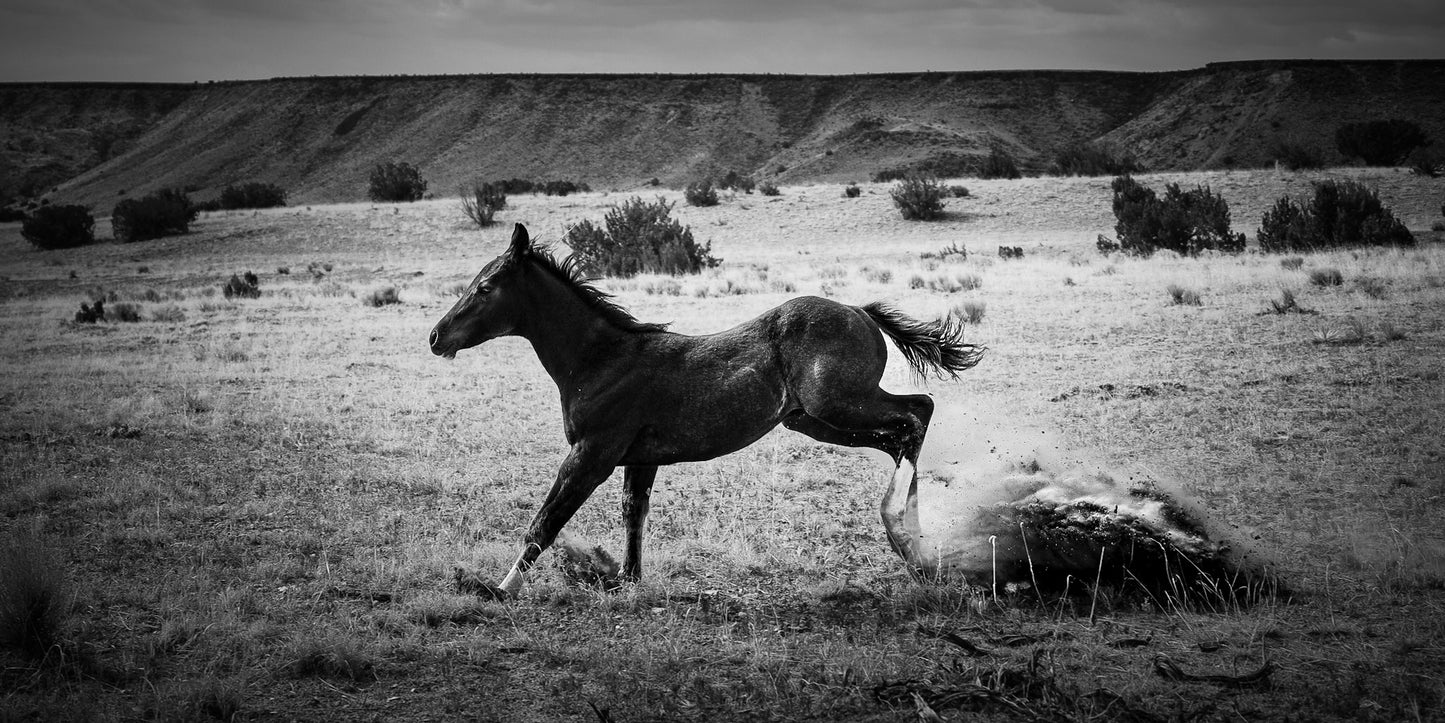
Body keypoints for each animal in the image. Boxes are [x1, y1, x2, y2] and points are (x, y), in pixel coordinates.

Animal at [427, 222, 988, 595]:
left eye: (485, 287)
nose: (435, 337)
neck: (601, 359)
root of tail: (860, 311)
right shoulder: (640, 459)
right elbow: (633, 515)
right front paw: (627, 581)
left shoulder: (591, 455)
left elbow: (546, 520)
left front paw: (499, 591)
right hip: (817, 420)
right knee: (902, 432)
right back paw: (910, 539)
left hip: (840, 404)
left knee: (918, 411)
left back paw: (903, 528)